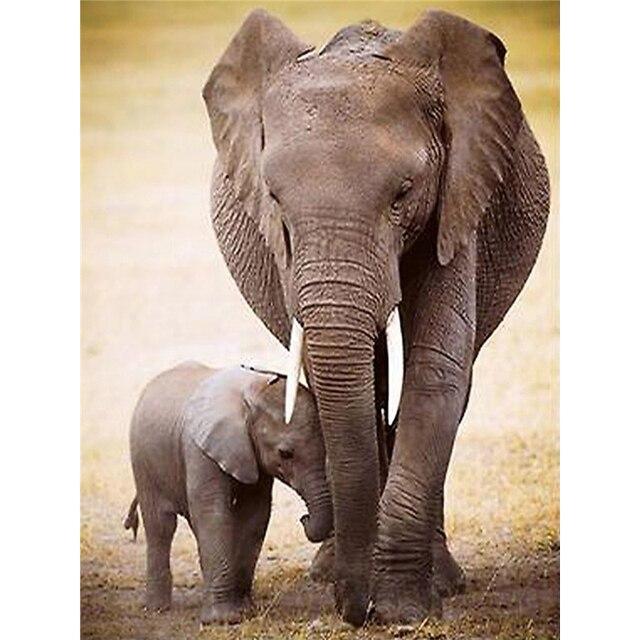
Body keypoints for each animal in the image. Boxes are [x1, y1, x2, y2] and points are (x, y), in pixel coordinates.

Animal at [126, 361, 333, 624]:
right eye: (285, 454)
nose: (304, 518)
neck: (252, 392)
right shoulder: (200, 449)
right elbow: (213, 513)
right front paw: (223, 620)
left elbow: (255, 514)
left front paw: (245, 610)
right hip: (143, 460)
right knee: (160, 526)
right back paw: (156, 608)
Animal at [202, 9, 549, 626]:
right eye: (274, 198)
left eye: (403, 193)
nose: (354, 609)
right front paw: (369, 592)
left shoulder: (459, 195)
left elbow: (437, 369)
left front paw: (404, 609)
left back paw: (442, 580)